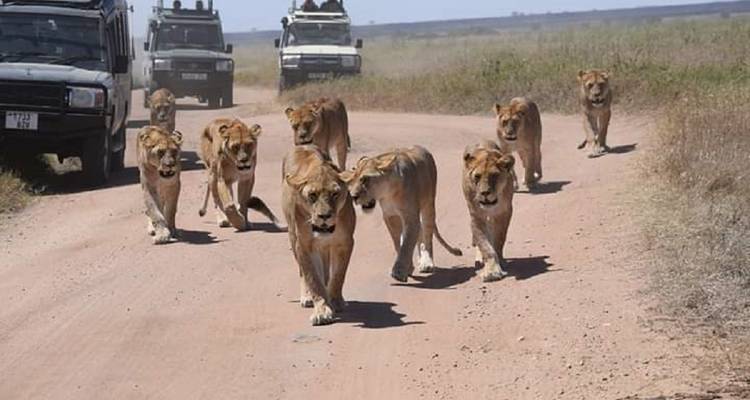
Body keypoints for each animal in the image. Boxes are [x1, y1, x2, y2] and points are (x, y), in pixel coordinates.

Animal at [282, 145, 356, 326]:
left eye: (335, 194)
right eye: (312, 195)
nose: (324, 216)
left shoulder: (345, 243)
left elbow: (338, 275)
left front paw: (335, 301)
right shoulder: (303, 245)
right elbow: (312, 278)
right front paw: (322, 310)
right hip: (292, 236)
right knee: (303, 272)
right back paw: (307, 297)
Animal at [340, 145, 463, 283]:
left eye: (365, 179)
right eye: (351, 181)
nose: (353, 197)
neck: (389, 193)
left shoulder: (411, 216)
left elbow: (407, 244)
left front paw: (399, 272)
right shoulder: (390, 216)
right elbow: (398, 243)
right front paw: (407, 267)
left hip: (429, 204)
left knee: (427, 232)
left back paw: (427, 263)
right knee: (419, 232)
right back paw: (420, 260)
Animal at [462, 140, 516, 282]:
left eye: (495, 176)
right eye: (477, 176)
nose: (485, 193)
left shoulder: (504, 213)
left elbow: (499, 239)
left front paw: (499, 261)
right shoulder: (476, 216)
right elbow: (484, 244)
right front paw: (491, 271)